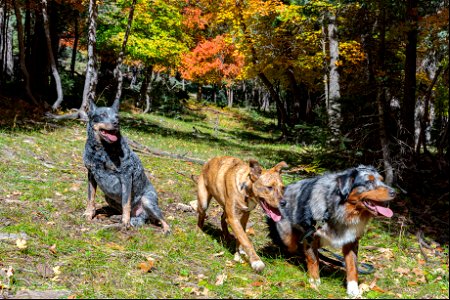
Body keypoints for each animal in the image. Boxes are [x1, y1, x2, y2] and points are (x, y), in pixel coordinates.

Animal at [82, 99, 171, 233]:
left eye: (117, 116)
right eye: (102, 114)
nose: (116, 123)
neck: (102, 151)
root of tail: (142, 215)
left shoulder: (126, 176)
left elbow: (126, 203)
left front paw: (125, 222)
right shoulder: (91, 174)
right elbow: (90, 197)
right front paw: (88, 213)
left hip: (147, 201)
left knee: (161, 219)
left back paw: (166, 229)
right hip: (109, 197)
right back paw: (116, 217)